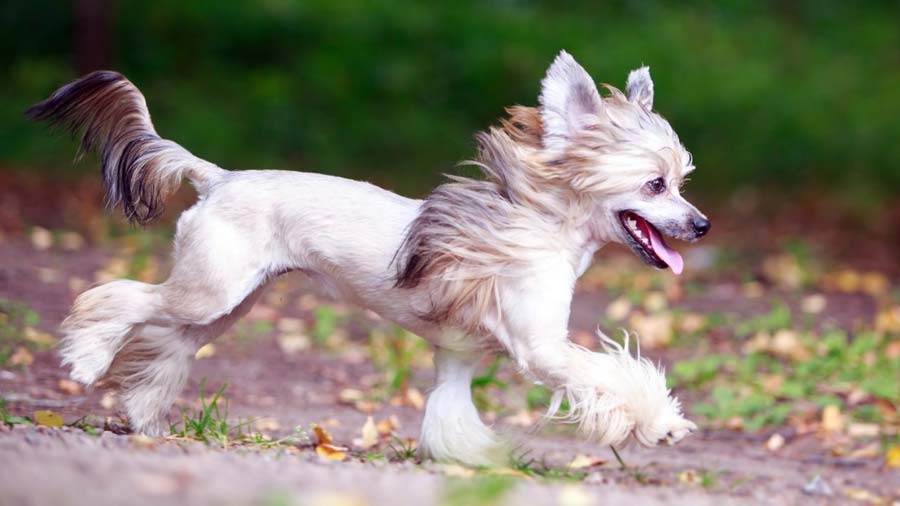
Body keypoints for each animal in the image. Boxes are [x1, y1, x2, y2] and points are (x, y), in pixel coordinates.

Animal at [28, 51, 712, 466]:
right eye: (656, 185)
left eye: (682, 182)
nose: (701, 224)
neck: (537, 223)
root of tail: (219, 177)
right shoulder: (541, 347)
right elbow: (612, 375)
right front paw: (661, 423)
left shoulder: (458, 355)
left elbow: (448, 411)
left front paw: (468, 461)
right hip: (210, 290)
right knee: (119, 299)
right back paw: (86, 356)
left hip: (226, 303)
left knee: (168, 340)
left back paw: (144, 416)